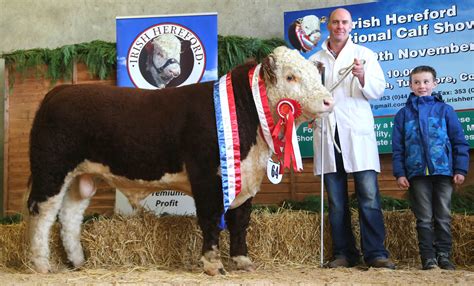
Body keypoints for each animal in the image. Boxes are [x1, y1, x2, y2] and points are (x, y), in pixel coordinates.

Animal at [26, 47, 334, 274]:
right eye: (291, 77)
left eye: (314, 73)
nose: (328, 101)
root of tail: (60, 91)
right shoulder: (208, 177)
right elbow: (211, 219)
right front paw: (212, 264)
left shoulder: (246, 180)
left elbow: (240, 221)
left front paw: (242, 261)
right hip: (51, 171)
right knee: (43, 213)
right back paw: (42, 264)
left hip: (80, 176)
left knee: (69, 215)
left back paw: (77, 261)